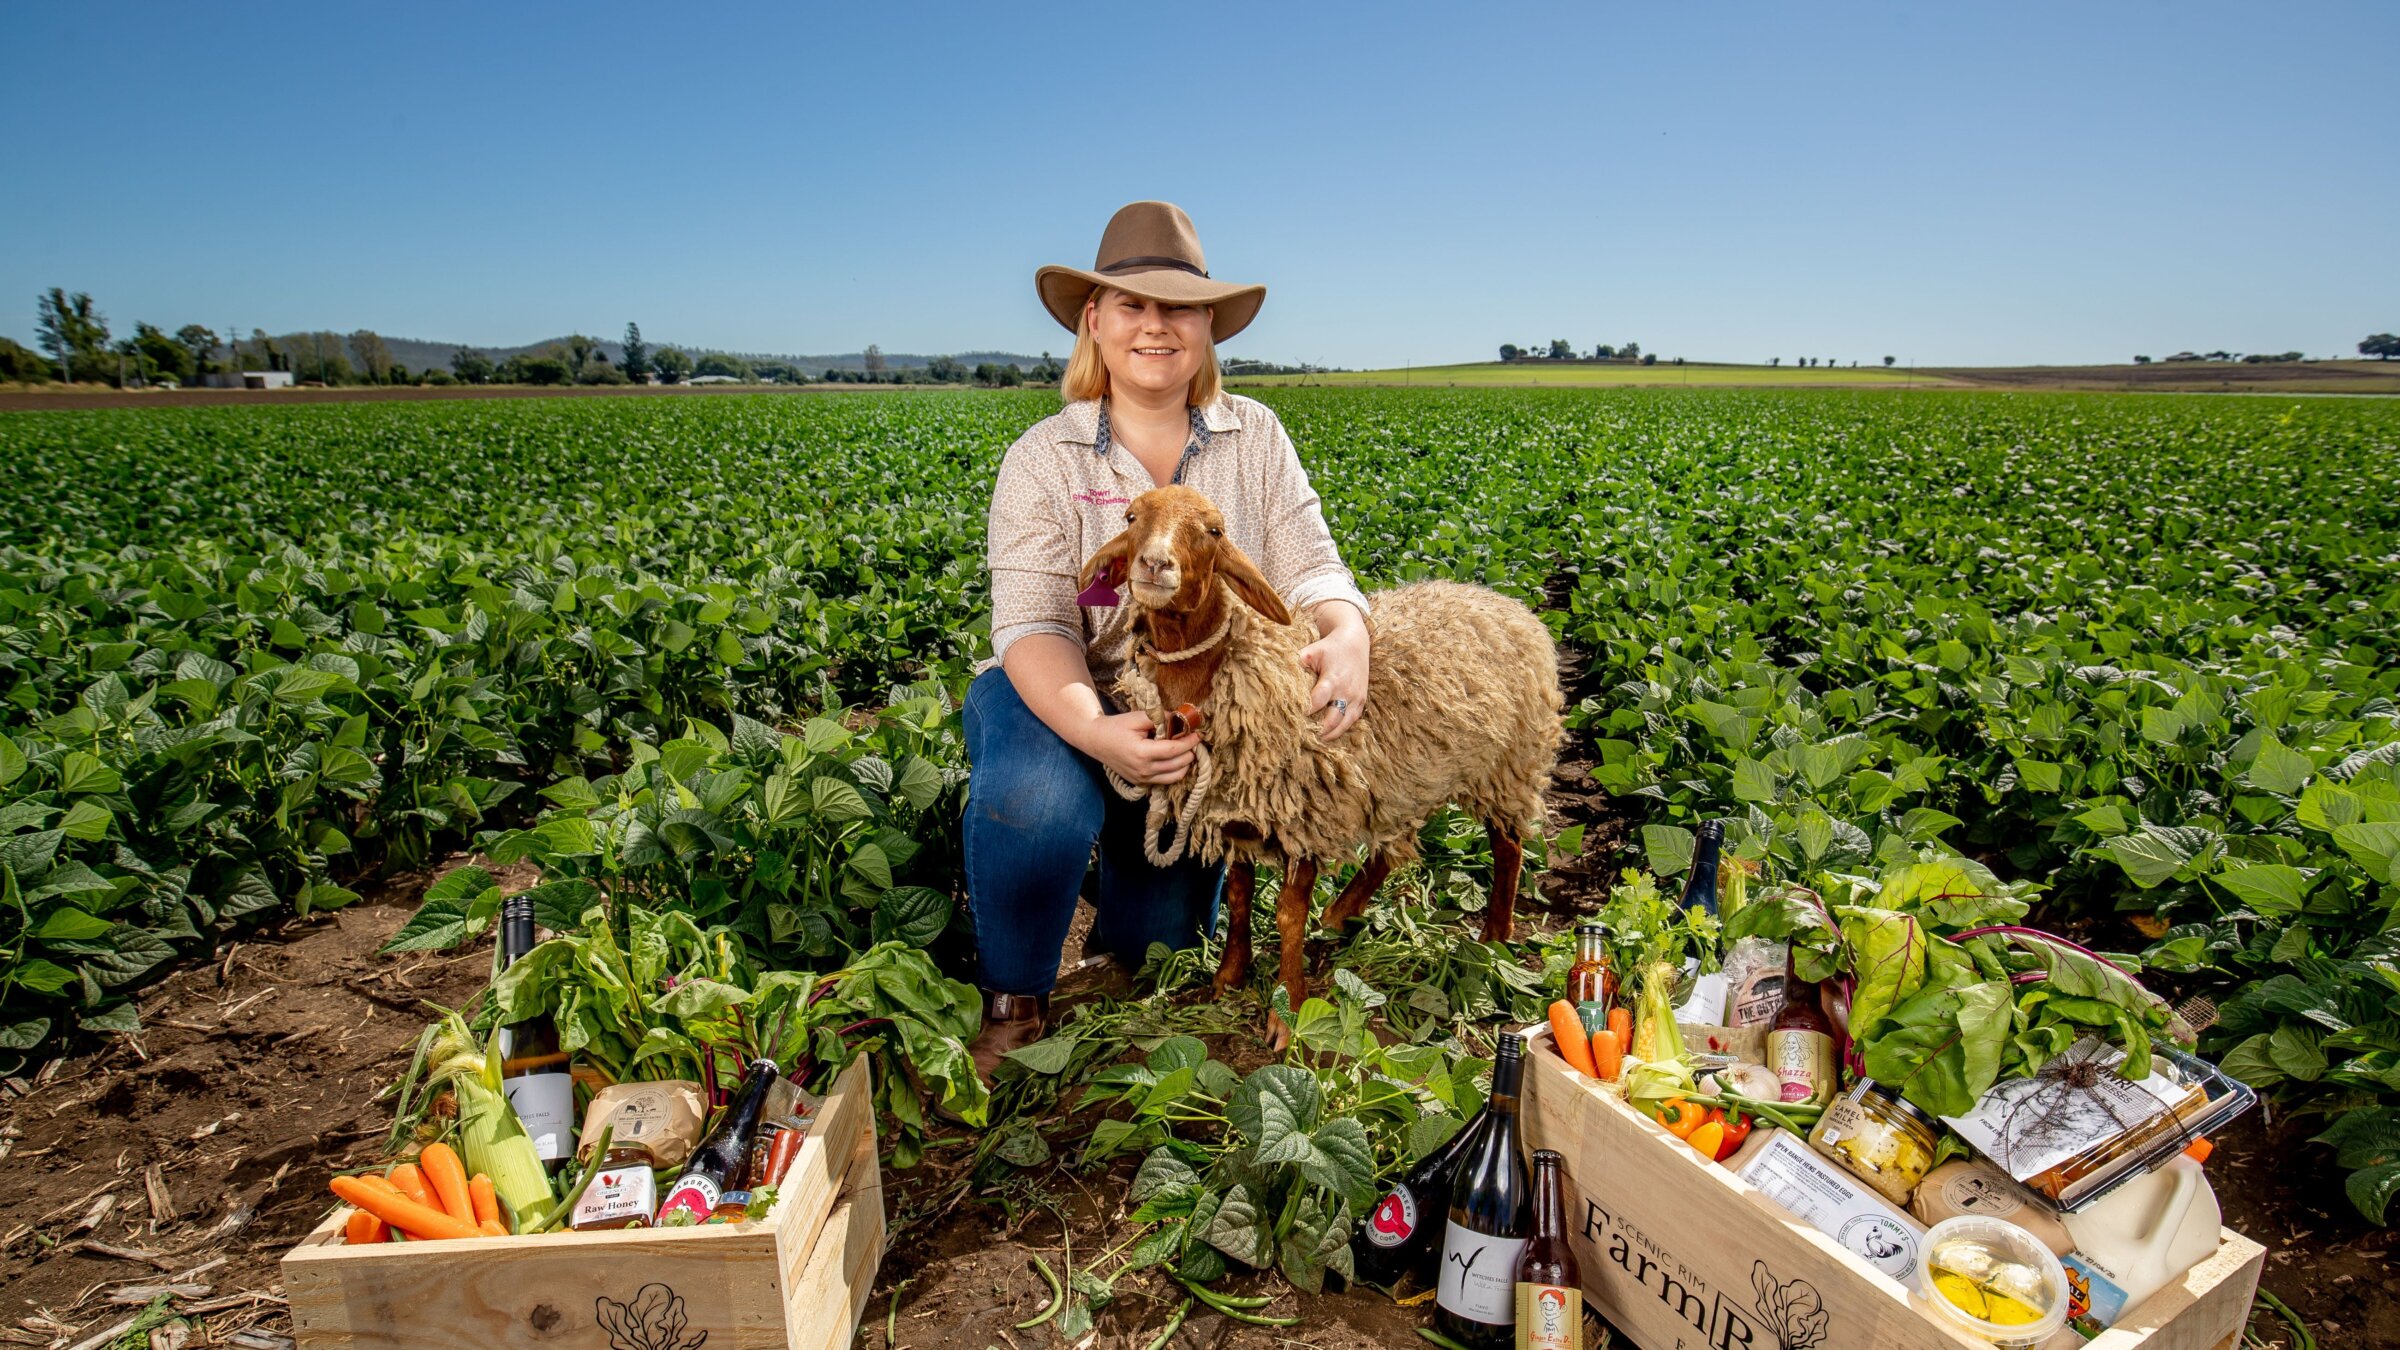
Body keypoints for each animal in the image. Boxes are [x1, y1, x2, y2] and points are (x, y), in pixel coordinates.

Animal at [1080, 482, 1564, 1042]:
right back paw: (1342, 912)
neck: (1221, 675)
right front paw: (1228, 976)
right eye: (1131, 517)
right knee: (1396, 843)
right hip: (1411, 769)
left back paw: (1494, 936)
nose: (1155, 564)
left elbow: (1288, 916)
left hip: (1507, 764)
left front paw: (1286, 1009)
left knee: (1508, 847)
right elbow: (1239, 899)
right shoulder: (1237, 817)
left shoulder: (1307, 814)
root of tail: (1508, 604)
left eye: (1215, 531)